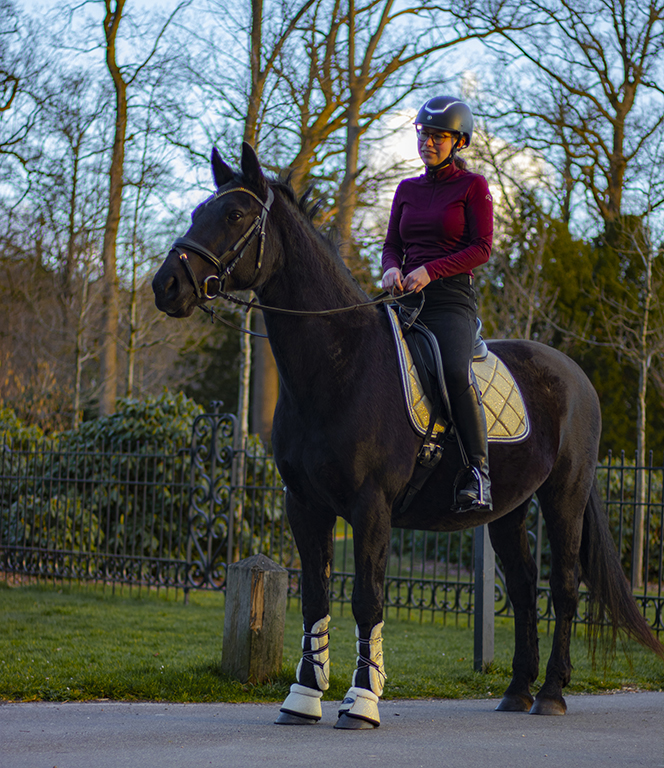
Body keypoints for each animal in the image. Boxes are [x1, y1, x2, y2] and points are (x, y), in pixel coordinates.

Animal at [153, 142, 660, 728]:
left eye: (234, 215)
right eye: (197, 212)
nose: (165, 285)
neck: (339, 363)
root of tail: (575, 375)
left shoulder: (371, 506)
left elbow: (367, 599)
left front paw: (362, 701)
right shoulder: (304, 505)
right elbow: (315, 597)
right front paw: (303, 697)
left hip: (564, 498)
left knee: (563, 590)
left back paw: (551, 693)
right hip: (508, 510)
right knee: (523, 589)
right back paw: (516, 690)